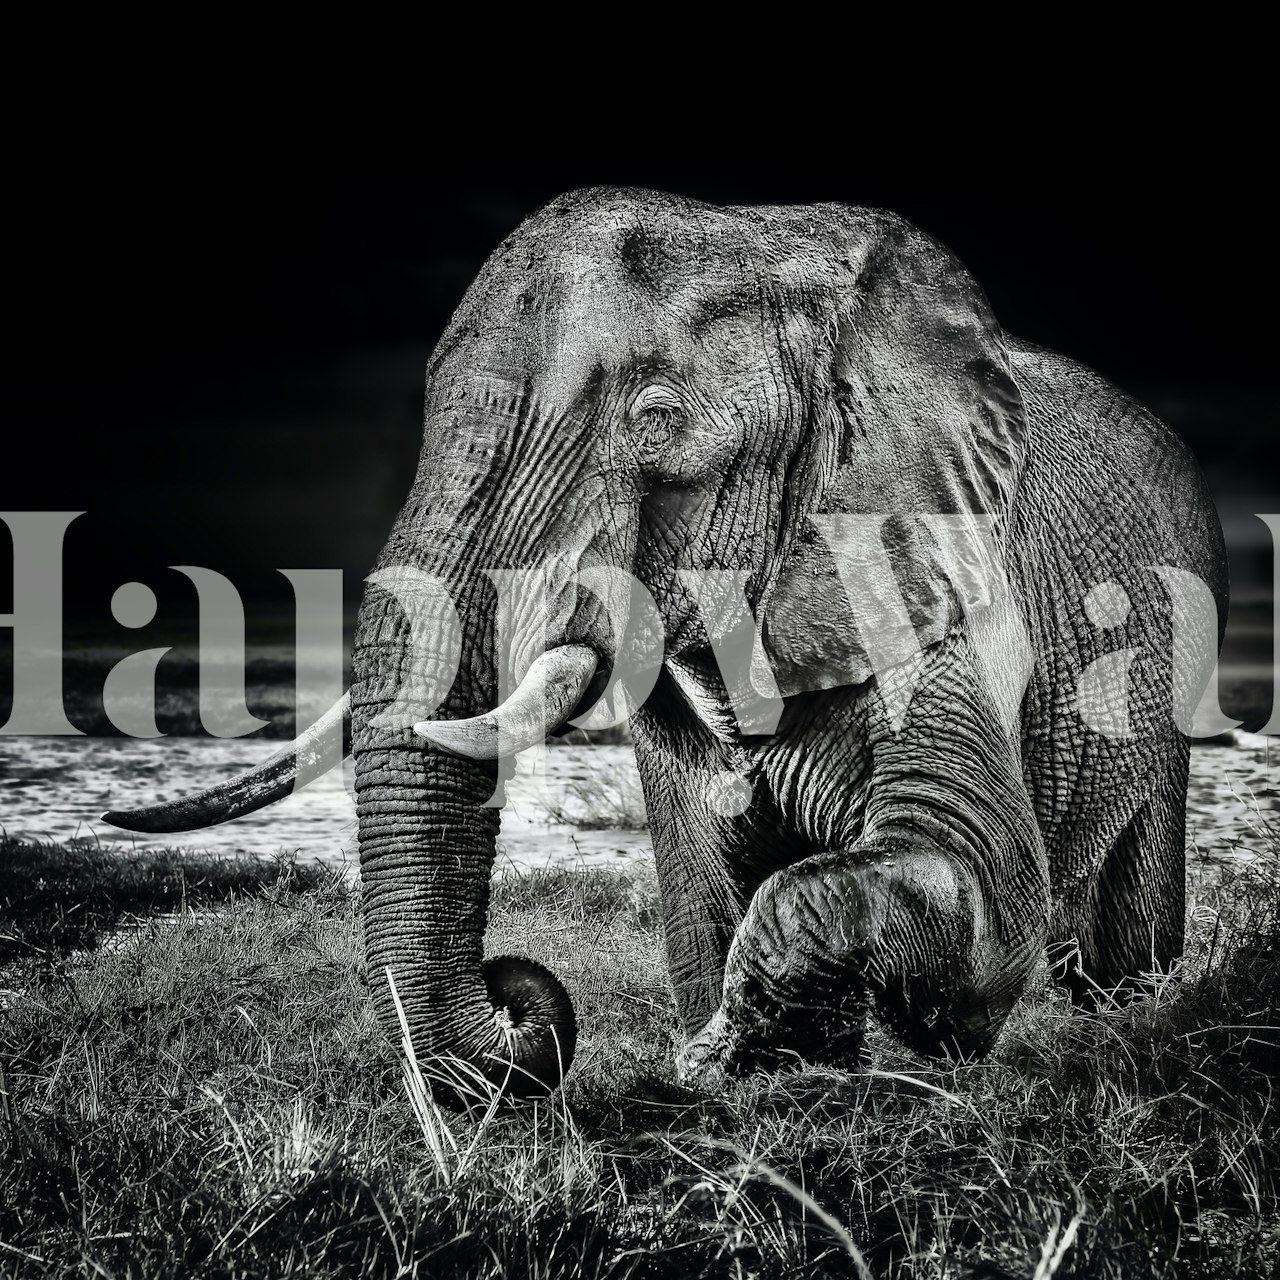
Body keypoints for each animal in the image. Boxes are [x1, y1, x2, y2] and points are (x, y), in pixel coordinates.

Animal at [105, 187, 1227, 1099]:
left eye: (654, 419)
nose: (514, 992)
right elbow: (702, 883)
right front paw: (767, 1066)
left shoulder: (929, 571)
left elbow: (981, 881)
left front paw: (720, 1056)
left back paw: (1125, 1016)